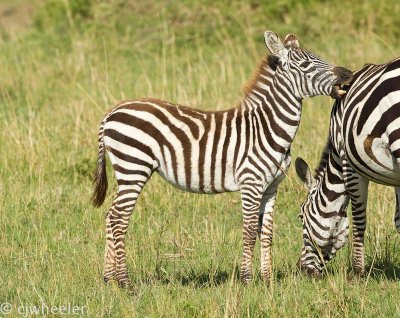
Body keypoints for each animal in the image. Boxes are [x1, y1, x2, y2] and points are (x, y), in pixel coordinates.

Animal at [92, 30, 352, 288]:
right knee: (118, 219)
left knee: (110, 216)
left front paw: (267, 280)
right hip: (133, 167)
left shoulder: (271, 187)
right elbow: (249, 232)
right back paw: (124, 282)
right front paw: (247, 280)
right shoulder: (250, 183)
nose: (347, 73)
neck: (267, 128)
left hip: (128, 171)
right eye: (306, 65)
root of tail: (111, 112)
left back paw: (108, 278)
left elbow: (267, 232)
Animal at [294, 56, 400, 276]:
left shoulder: (348, 164)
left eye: (300, 216)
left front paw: (357, 271)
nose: (302, 271)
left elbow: (359, 219)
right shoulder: (397, 177)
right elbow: (399, 220)